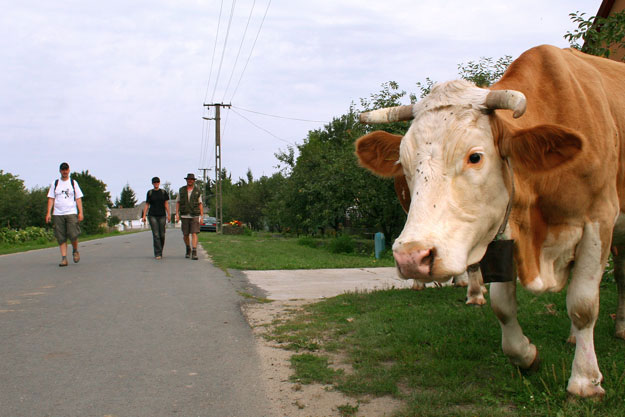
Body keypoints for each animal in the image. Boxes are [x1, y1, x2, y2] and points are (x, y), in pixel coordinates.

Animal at [354, 45, 624, 396]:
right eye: (404, 163)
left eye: (475, 157)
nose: (412, 257)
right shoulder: (504, 230)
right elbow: (502, 304)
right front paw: (526, 355)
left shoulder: (598, 220)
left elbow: (583, 305)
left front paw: (585, 381)